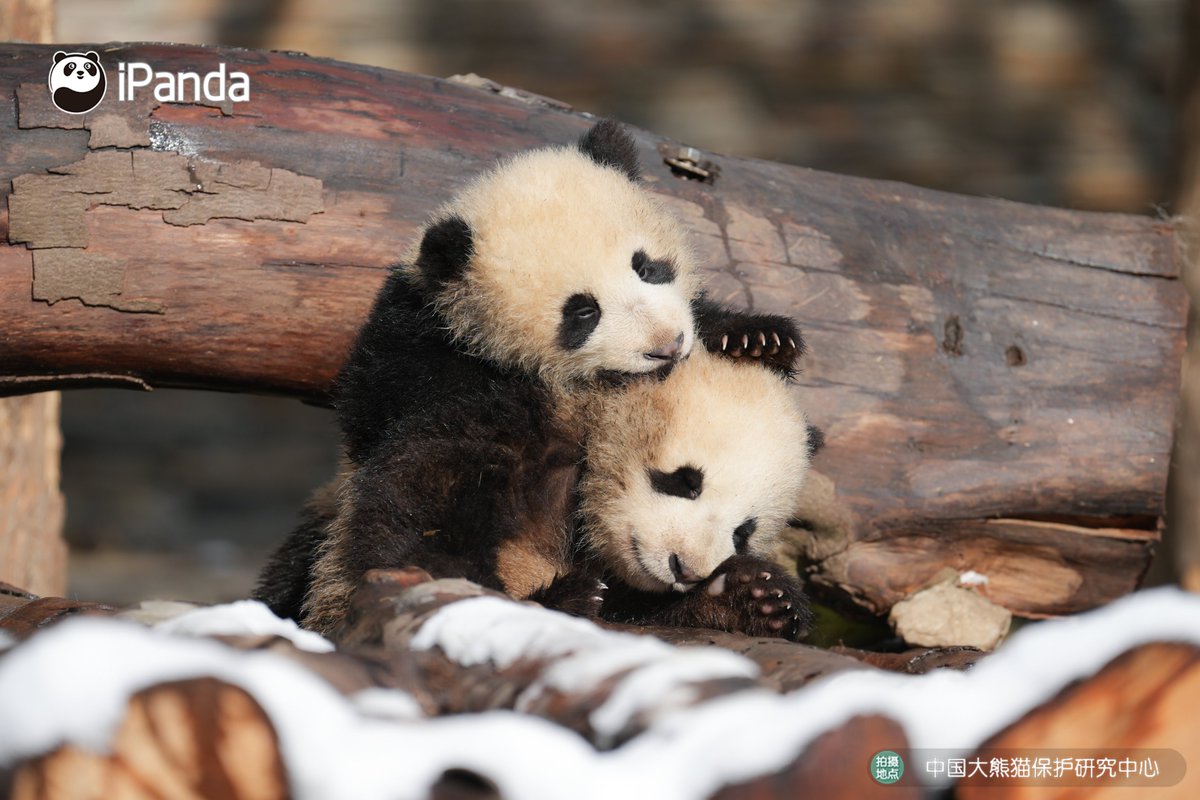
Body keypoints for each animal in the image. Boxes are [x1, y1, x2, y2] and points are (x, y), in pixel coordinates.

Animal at [254, 121, 805, 635]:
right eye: (582, 312)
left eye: (648, 267)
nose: (668, 344)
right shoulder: (424, 367)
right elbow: (415, 520)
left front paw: (755, 338)